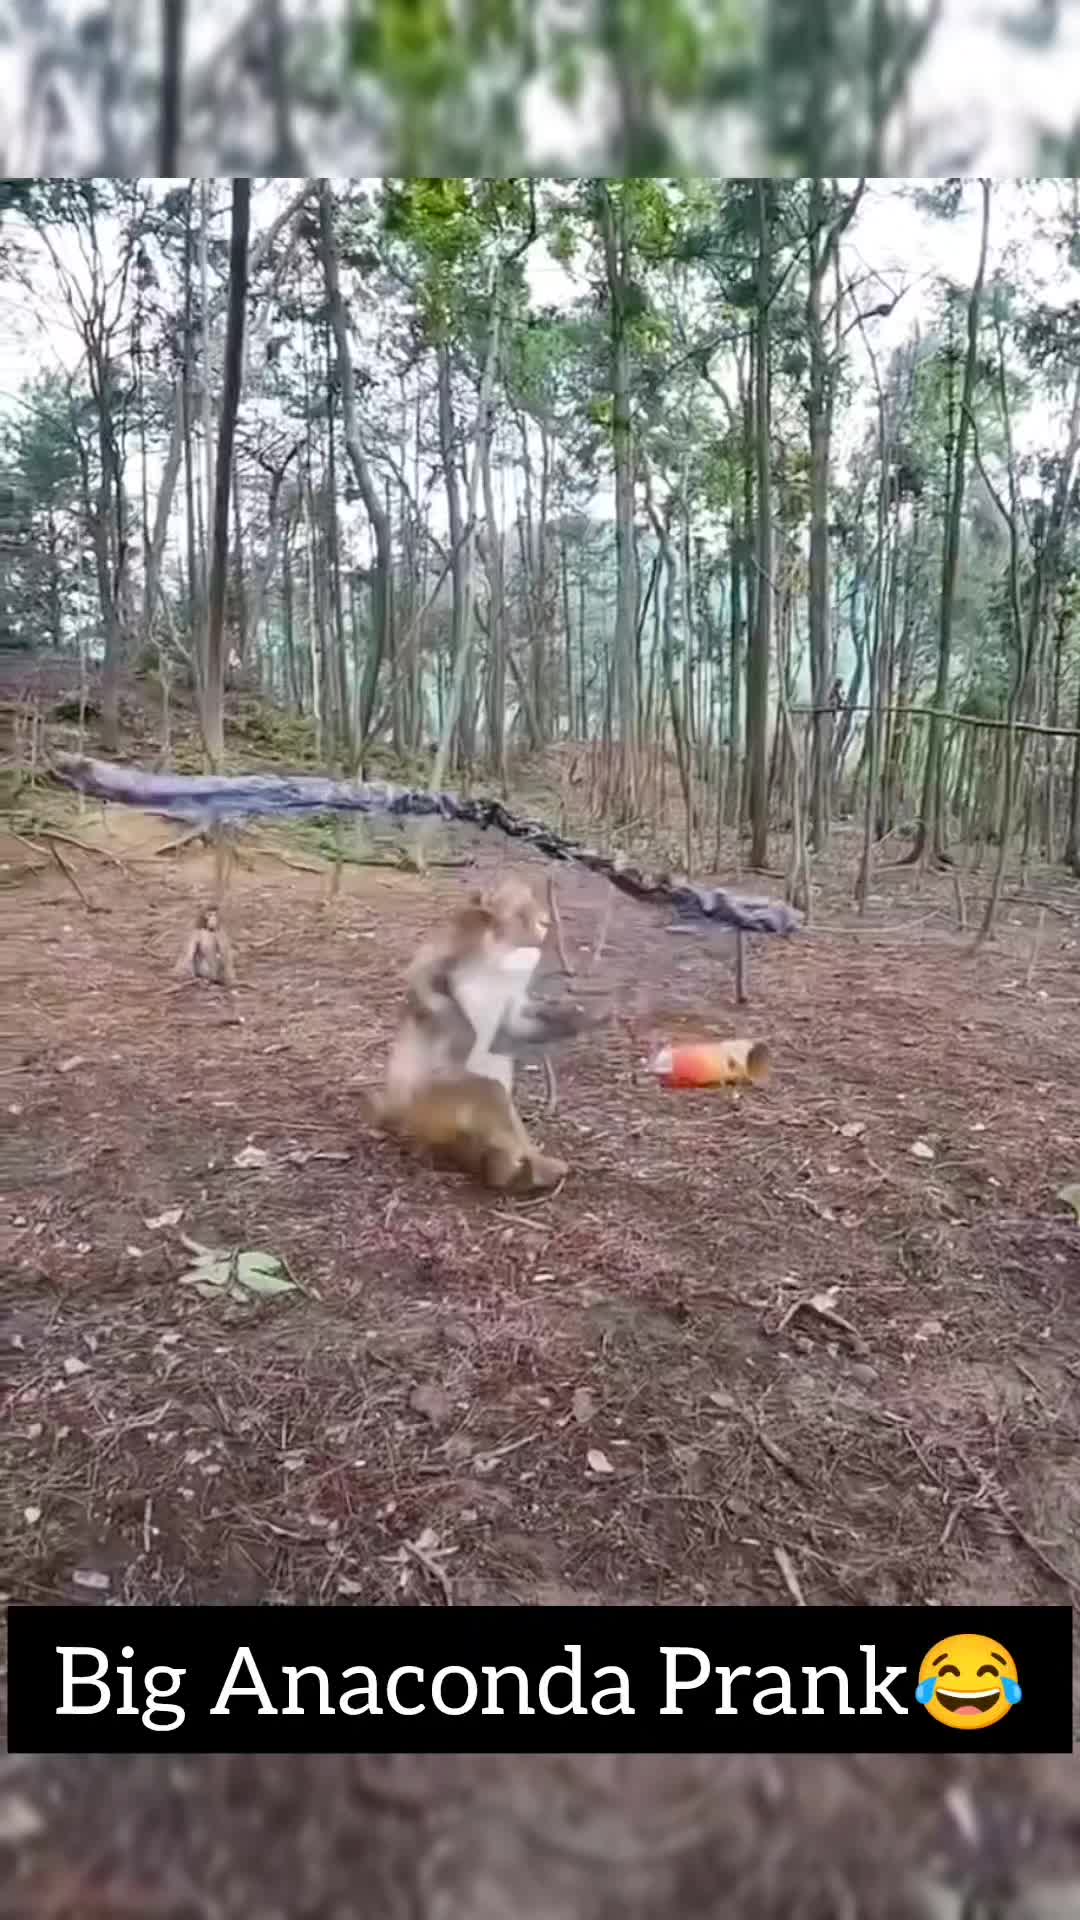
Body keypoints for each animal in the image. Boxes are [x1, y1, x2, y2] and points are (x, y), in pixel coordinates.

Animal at [373, 876, 611, 1194]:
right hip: (429, 1106)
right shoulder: (452, 954)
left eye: (533, 902)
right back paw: (507, 1171)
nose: (545, 921)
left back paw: (516, 1163)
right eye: (522, 911)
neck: (498, 949)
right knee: (486, 1092)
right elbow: (431, 991)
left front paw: (583, 1016)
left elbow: (511, 1022)